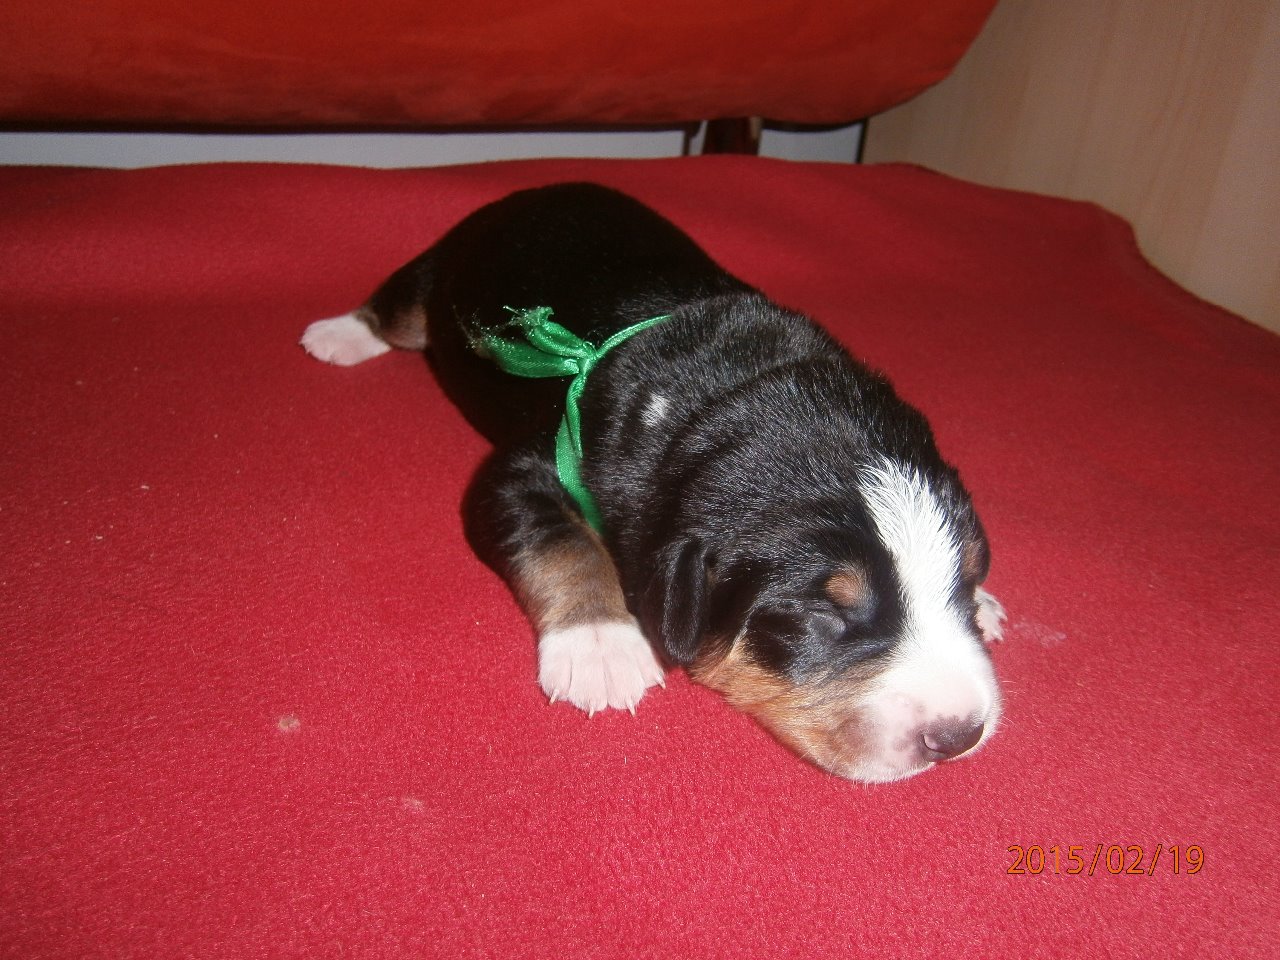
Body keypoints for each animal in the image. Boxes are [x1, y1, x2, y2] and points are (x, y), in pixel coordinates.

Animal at [301, 182, 1004, 783]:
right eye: (820, 615)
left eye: (965, 576)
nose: (960, 734)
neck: (732, 391)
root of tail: (541, 188)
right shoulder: (521, 470)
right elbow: (564, 543)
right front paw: (600, 644)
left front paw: (987, 604)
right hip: (438, 269)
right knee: (396, 309)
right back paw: (337, 335)